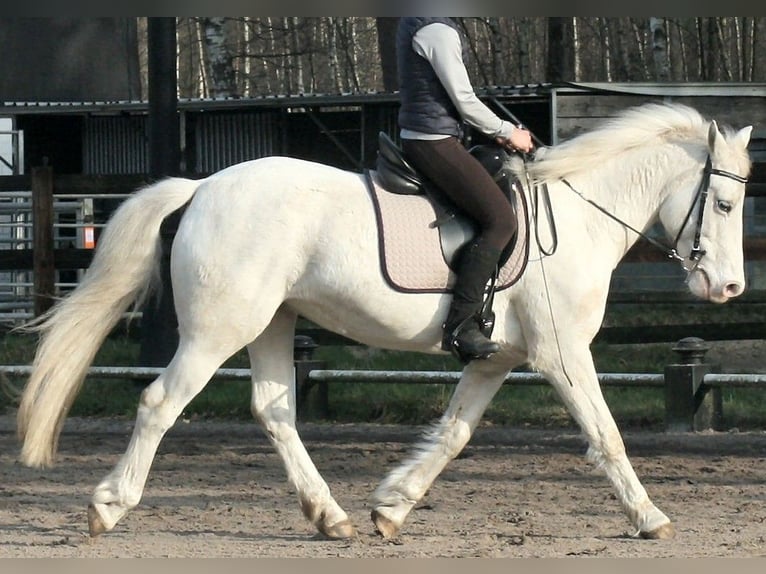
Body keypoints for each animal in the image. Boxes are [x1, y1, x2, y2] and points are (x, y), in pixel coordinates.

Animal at [15, 102, 752, 542]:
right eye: (721, 203)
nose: (729, 287)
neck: (576, 216)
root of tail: (202, 187)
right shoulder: (562, 354)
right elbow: (606, 434)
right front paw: (650, 517)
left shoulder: (495, 358)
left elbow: (454, 434)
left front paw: (392, 505)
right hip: (217, 332)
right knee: (161, 403)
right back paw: (108, 506)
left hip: (272, 325)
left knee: (274, 411)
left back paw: (331, 516)